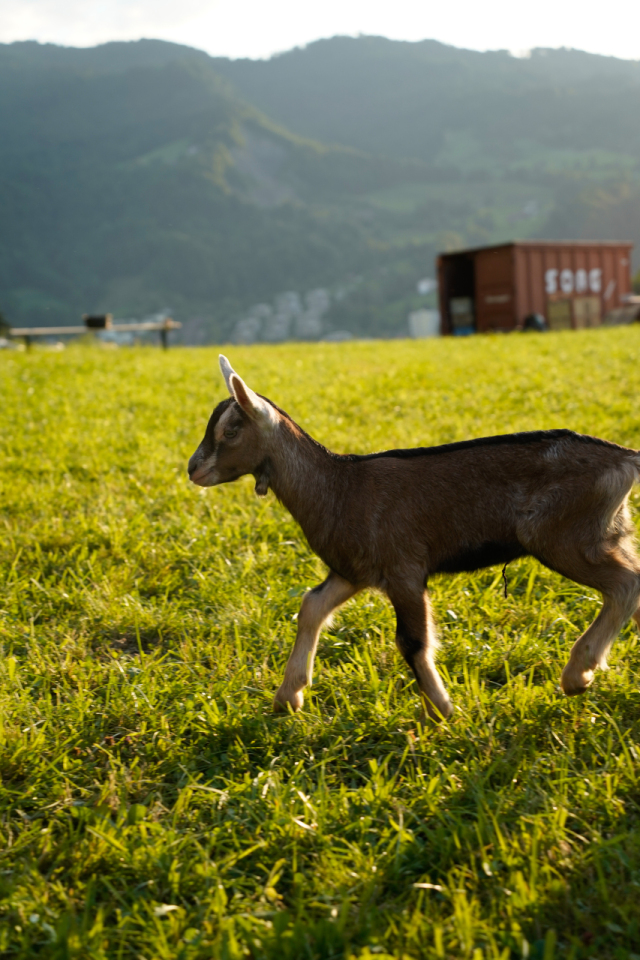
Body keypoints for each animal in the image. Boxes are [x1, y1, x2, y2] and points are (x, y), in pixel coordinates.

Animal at [188, 355, 640, 723]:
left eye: (231, 430)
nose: (193, 469)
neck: (339, 487)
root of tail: (625, 458)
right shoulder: (353, 570)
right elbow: (312, 606)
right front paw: (288, 697)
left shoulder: (403, 569)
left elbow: (412, 641)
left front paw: (441, 710)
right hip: (607, 532)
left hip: (563, 536)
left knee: (625, 584)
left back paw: (577, 674)